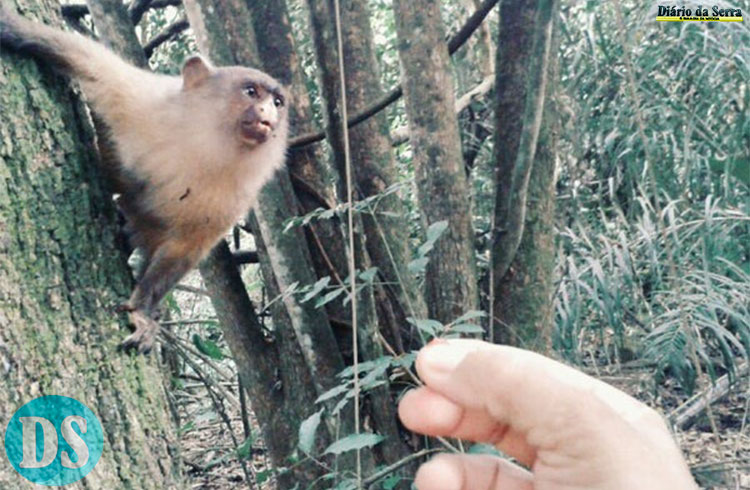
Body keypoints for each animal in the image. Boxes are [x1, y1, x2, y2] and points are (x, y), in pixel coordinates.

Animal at [0, 6, 290, 352]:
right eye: (251, 92)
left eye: (277, 103)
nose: (267, 115)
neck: (200, 144)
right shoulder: (147, 102)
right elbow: (87, 60)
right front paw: (11, 27)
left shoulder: (236, 197)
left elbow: (183, 249)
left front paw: (142, 310)